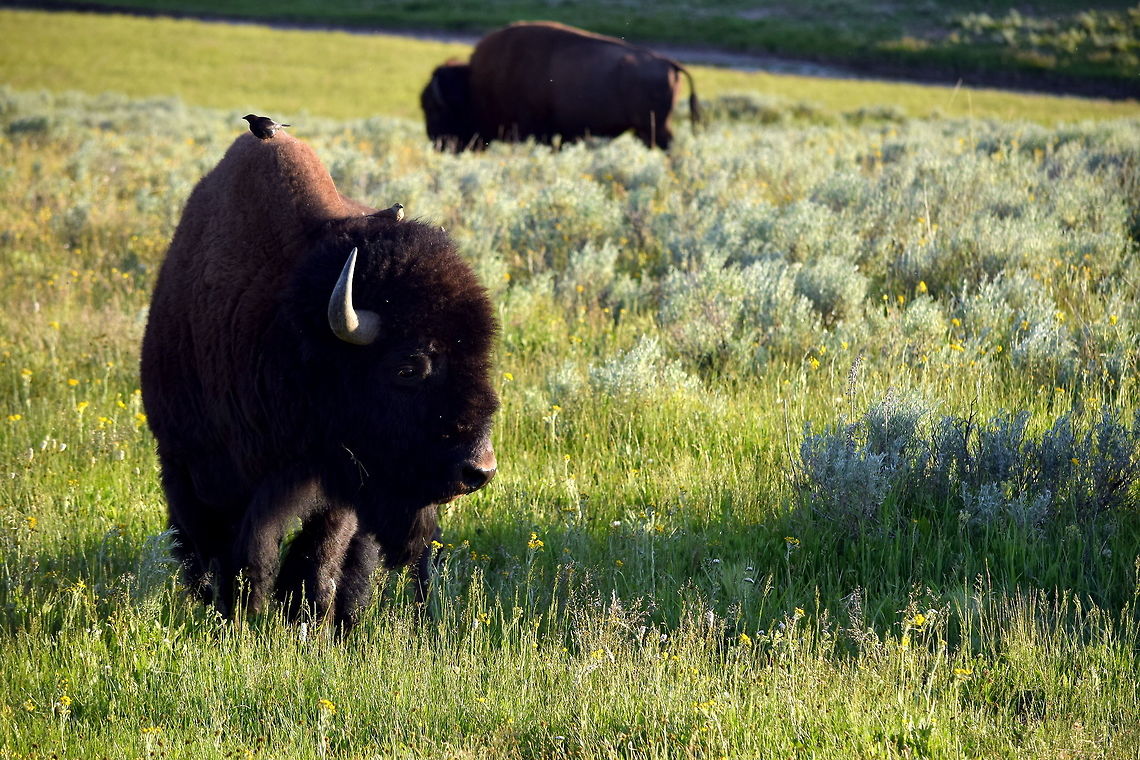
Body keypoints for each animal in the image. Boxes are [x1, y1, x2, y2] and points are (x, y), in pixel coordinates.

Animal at [140, 131, 498, 628]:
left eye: (481, 358)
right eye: (407, 368)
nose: (479, 470)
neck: (288, 331)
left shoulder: (340, 485)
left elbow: (317, 556)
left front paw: (307, 622)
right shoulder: (196, 470)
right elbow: (233, 555)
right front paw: (236, 618)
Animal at [421, 21, 700, 150]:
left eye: (434, 109)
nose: (437, 144)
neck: (475, 85)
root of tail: (669, 63)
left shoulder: (533, 129)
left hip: (654, 128)